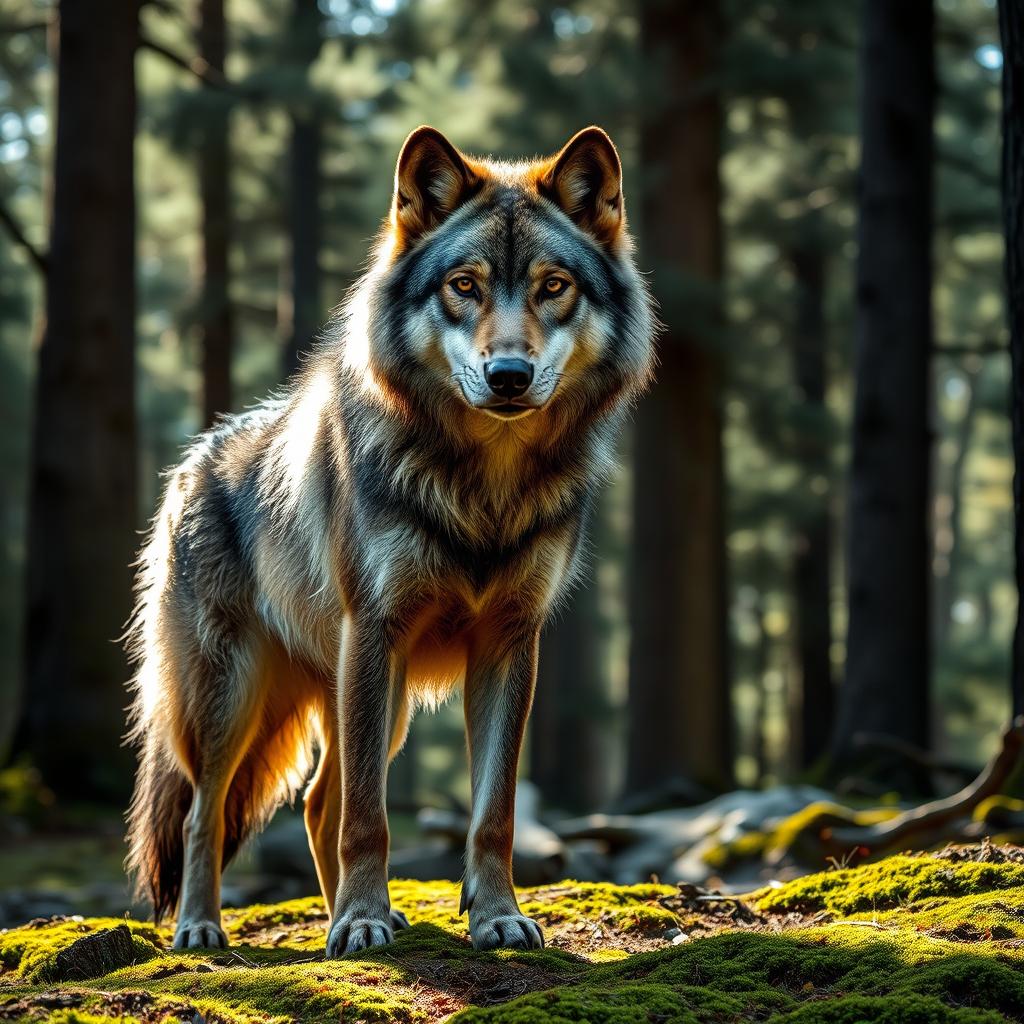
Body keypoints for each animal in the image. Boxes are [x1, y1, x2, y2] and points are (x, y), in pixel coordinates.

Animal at [125, 125, 655, 956]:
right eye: (464, 286)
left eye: (553, 286)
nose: (510, 375)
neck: (484, 489)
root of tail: (193, 461)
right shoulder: (376, 630)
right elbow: (370, 819)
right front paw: (362, 921)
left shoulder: (510, 643)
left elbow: (493, 813)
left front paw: (494, 916)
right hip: (237, 697)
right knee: (206, 812)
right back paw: (204, 928)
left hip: (378, 698)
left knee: (317, 802)